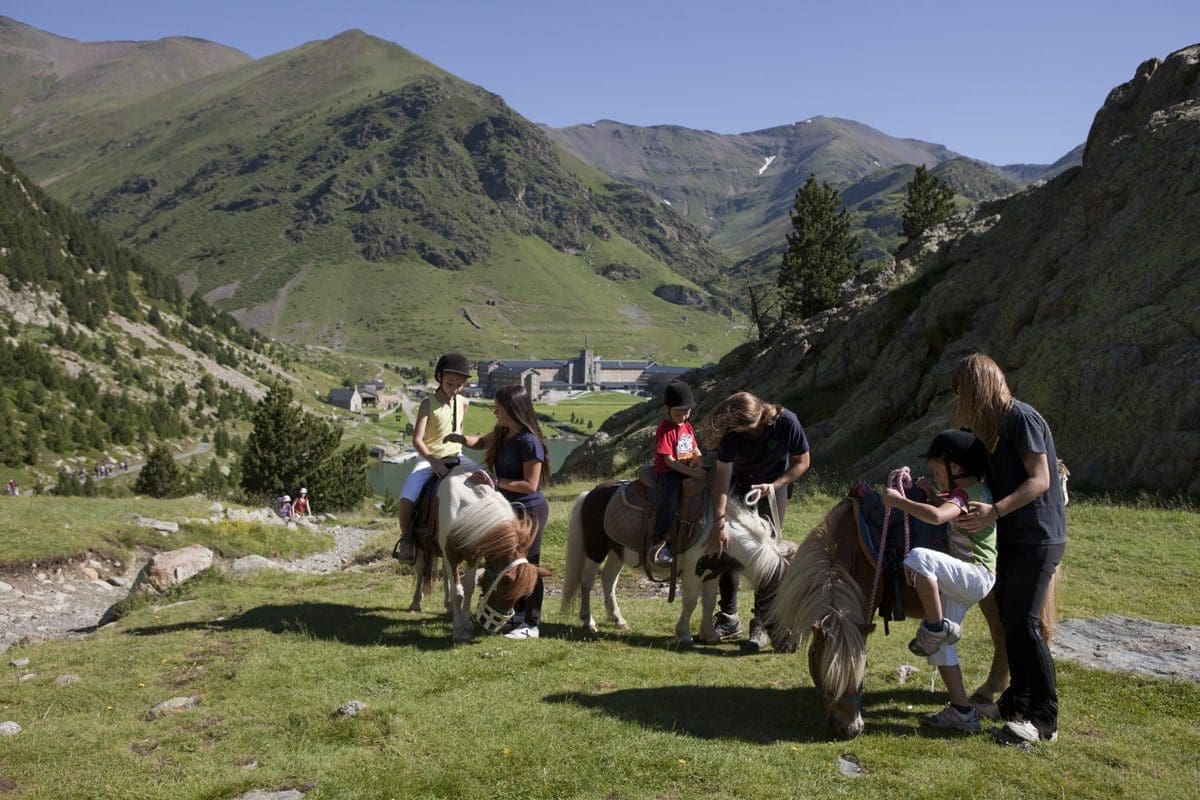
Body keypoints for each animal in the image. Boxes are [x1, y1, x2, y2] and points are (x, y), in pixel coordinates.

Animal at [436, 470, 549, 642]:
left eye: (520, 596)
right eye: (503, 590)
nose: (493, 624)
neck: (466, 512)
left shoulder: (473, 555)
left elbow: (468, 588)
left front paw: (466, 624)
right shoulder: (450, 554)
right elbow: (458, 593)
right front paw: (458, 631)